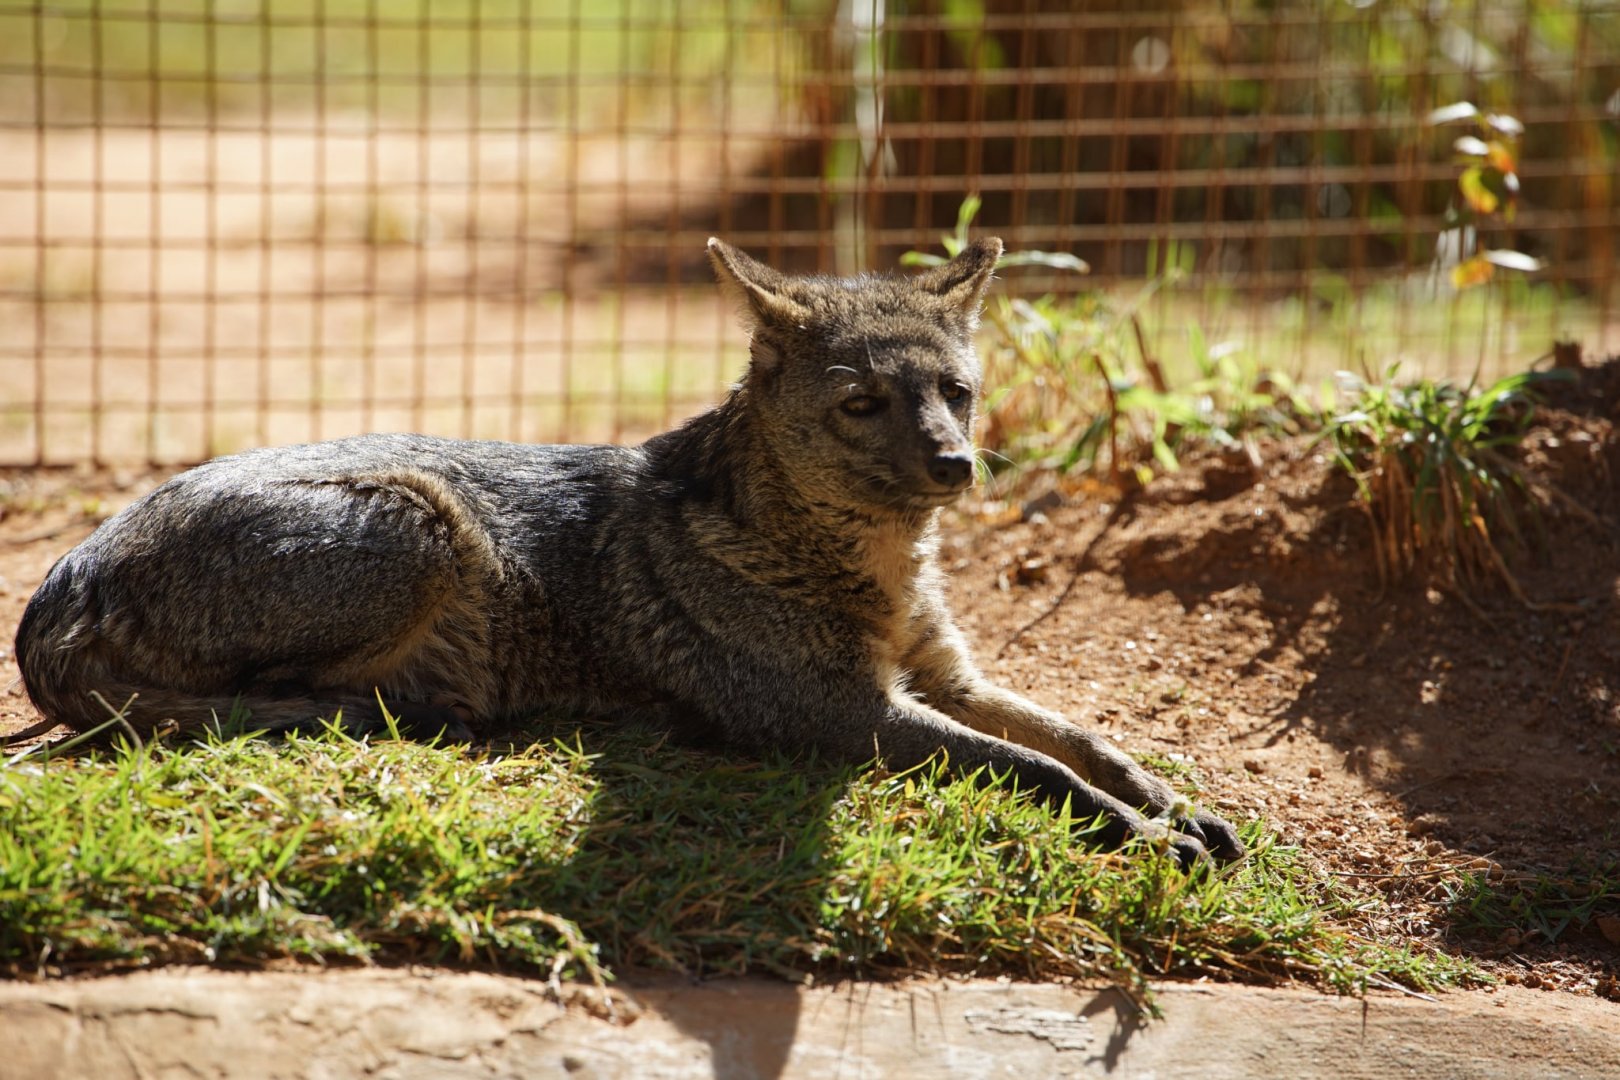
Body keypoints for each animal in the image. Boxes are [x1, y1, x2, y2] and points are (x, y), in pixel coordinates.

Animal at [14, 237, 1243, 867]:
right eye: (861, 404)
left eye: (958, 394)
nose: (956, 466)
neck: (880, 575)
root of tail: (62, 579)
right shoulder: (839, 711)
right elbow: (1031, 767)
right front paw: (1145, 834)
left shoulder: (943, 676)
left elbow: (1081, 736)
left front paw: (1172, 802)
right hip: (424, 524)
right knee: (259, 705)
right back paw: (430, 709)